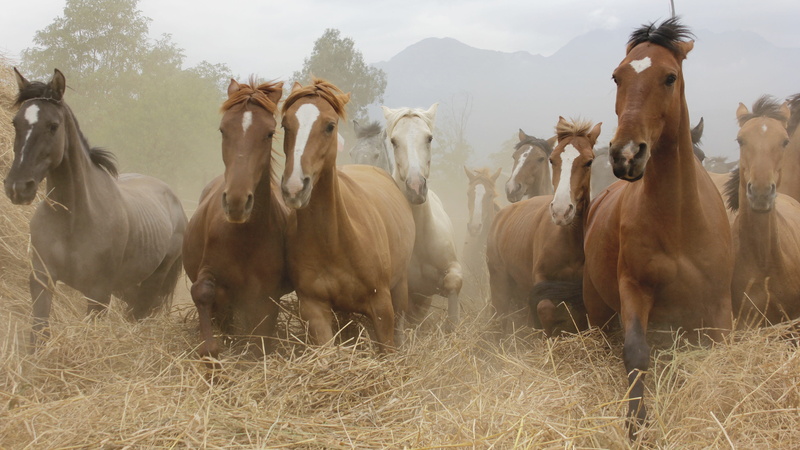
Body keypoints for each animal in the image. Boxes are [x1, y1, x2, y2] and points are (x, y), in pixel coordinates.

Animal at [4, 69, 187, 344]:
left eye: (53, 126)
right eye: (16, 123)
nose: (17, 187)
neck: (73, 218)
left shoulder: (98, 294)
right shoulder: (42, 280)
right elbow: (39, 332)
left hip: (152, 281)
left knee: (140, 312)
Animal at [182, 78, 292, 361]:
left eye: (269, 133)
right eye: (223, 130)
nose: (236, 202)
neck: (244, 237)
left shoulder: (266, 297)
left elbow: (259, 340)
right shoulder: (211, 273)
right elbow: (202, 292)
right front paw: (210, 350)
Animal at [280, 78, 415, 351]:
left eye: (330, 126)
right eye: (285, 124)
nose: (295, 187)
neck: (336, 241)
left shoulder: (382, 308)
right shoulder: (314, 310)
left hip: (400, 288)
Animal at [487, 117, 600, 336]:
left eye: (589, 161)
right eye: (552, 159)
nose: (561, 210)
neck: (567, 239)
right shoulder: (541, 280)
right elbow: (544, 308)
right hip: (499, 284)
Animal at [582, 19, 733, 437]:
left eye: (670, 77)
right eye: (617, 77)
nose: (626, 154)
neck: (678, 221)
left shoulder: (719, 307)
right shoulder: (634, 288)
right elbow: (635, 353)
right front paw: (637, 425)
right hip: (596, 308)